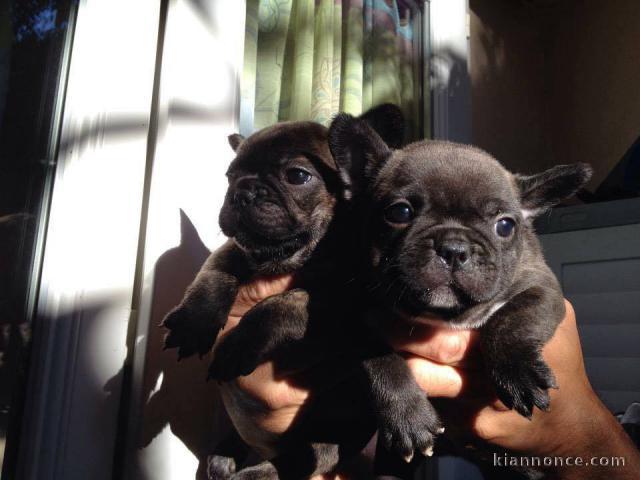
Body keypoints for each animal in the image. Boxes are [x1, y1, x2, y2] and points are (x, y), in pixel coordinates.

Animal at [162, 106, 438, 480]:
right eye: (229, 177)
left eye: (297, 175)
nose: (242, 191)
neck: (289, 258)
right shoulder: (233, 251)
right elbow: (213, 274)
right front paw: (194, 322)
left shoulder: (339, 301)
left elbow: (285, 303)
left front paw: (238, 344)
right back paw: (224, 455)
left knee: (305, 459)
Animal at [330, 113, 596, 428]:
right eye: (399, 212)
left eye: (505, 226)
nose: (454, 249)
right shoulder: (350, 313)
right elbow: (376, 357)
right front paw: (407, 414)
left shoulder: (540, 287)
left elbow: (510, 321)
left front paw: (518, 373)